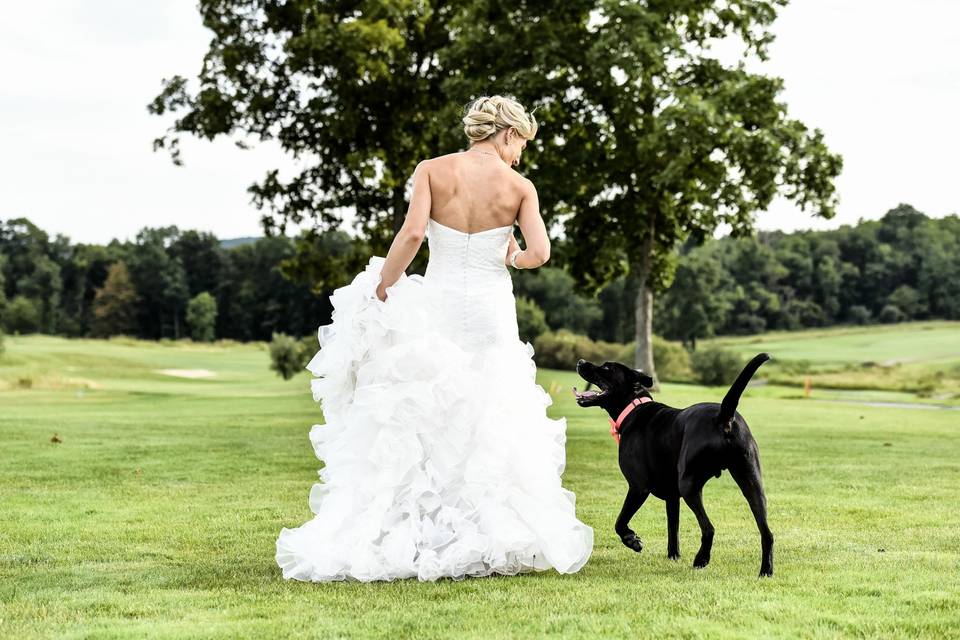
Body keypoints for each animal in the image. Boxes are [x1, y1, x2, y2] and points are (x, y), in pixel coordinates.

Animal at [572, 352, 776, 576]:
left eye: (607, 368)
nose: (580, 362)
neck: (634, 407)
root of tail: (724, 414)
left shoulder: (638, 487)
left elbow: (620, 521)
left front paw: (632, 540)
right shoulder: (672, 495)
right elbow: (673, 527)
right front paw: (673, 556)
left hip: (689, 485)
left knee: (709, 528)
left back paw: (701, 560)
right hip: (752, 484)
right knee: (767, 533)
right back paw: (765, 571)